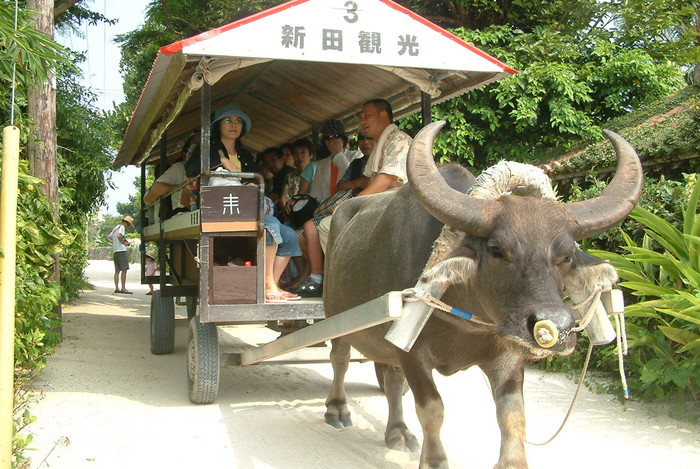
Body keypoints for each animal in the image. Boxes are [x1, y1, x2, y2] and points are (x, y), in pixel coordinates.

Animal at [322, 121, 640, 468]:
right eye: (497, 250)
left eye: (567, 255)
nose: (555, 327)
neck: (461, 310)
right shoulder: (412, 351)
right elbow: (432, 408)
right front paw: (434, 460)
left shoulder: (507, 353)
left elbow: (513, 415)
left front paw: (512, 461)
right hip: (336, 316)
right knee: (339, 360)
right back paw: (337, 408)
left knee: (391, 377)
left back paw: (398, 431)